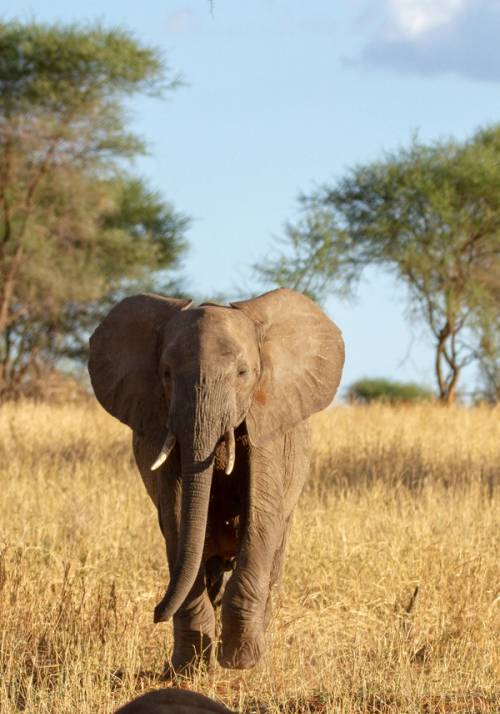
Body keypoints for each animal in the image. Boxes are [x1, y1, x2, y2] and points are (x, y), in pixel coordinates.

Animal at [88, 286, 342, 672]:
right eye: (165, 374)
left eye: (243, 372)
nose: (156, 612)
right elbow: (177, 520)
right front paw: (189, 667)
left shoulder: (266, 426)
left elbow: (260, 520)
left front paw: (241, 663)